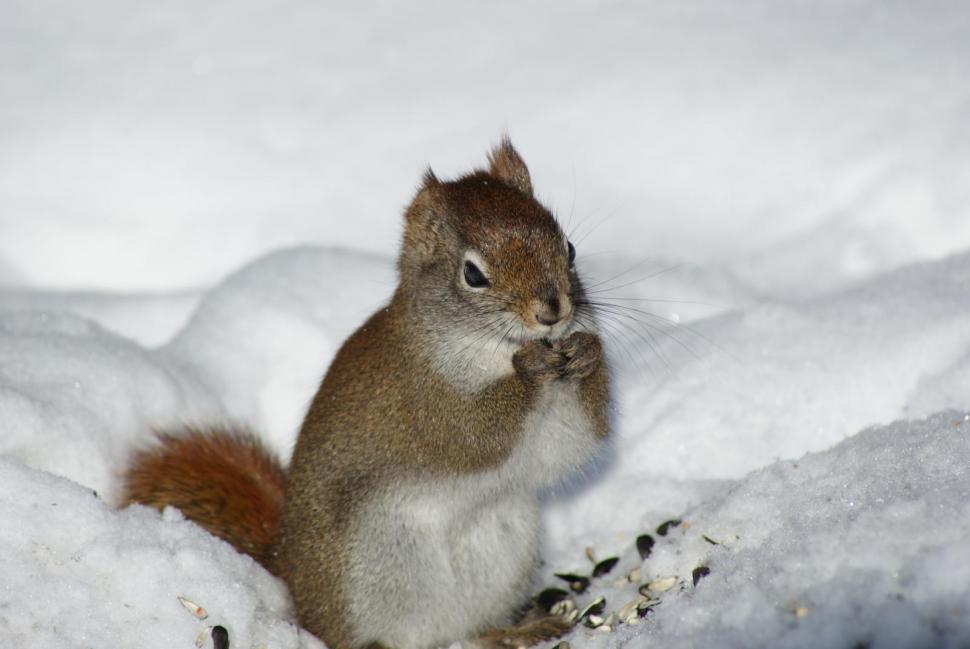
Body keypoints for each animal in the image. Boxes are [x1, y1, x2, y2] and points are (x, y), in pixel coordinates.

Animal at [121, 139, 611, 649]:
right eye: (473, 275)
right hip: (371, 570)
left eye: (569, 248)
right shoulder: (422, 401)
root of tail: (287, 567)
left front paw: (588, 353)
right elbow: (473, 436)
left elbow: (567, 447)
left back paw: (518, 630)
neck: (493, 351)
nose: (553, 312)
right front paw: (530, 372)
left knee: (468, 633)